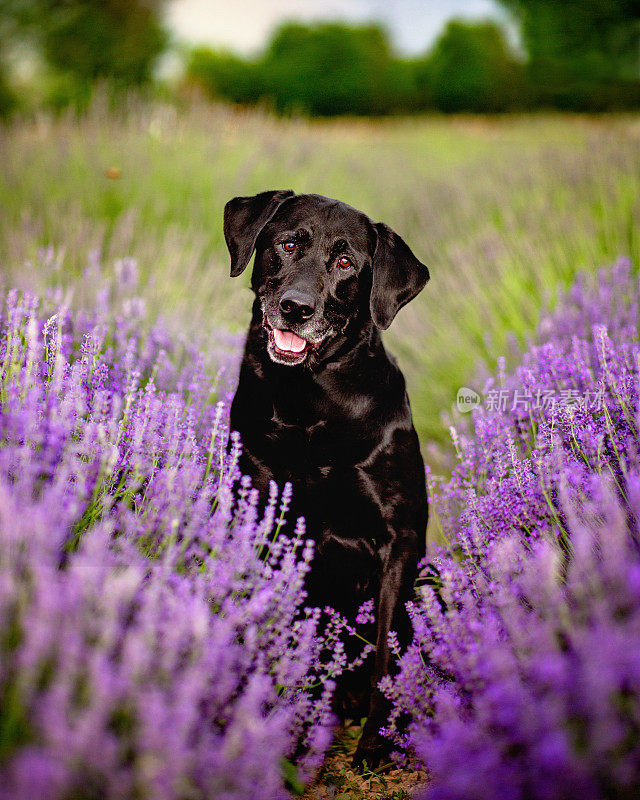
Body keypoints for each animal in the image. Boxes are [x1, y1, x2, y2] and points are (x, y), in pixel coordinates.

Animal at [222, 189, 428, 768]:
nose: (296, 307)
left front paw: (378, 743)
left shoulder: (398, 540)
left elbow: (386, 657)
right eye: (288, 245)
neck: (309, 401)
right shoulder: (267, 516)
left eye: (345, 263)